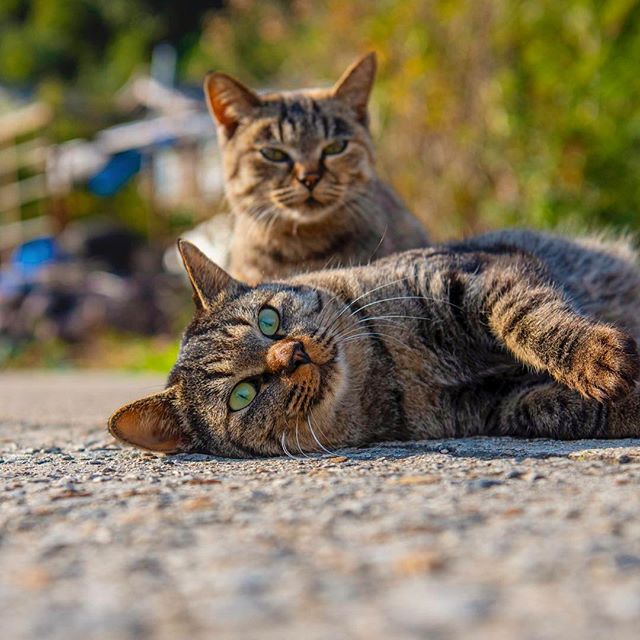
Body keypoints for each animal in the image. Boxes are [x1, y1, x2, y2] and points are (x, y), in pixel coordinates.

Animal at [107, 229, 640, 456]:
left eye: (269, 320)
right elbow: (566, 409)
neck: (392, 365)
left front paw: (595, 358)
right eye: (243, 394)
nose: (292, 353)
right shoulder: (497, 407)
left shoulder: (482, 272)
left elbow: (527, 318)